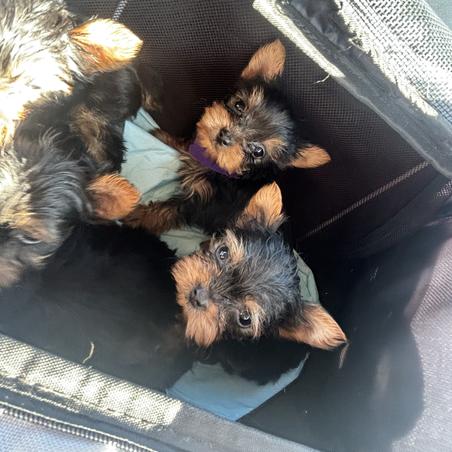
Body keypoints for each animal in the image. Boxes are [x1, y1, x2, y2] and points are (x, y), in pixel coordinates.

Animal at [125, 39, 330, 235]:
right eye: (239, 105)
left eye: (258, 151)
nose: (224, 137)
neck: (221, 168)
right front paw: (167, 138)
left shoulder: (201, 206)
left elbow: (170, 209)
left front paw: (138, 215)